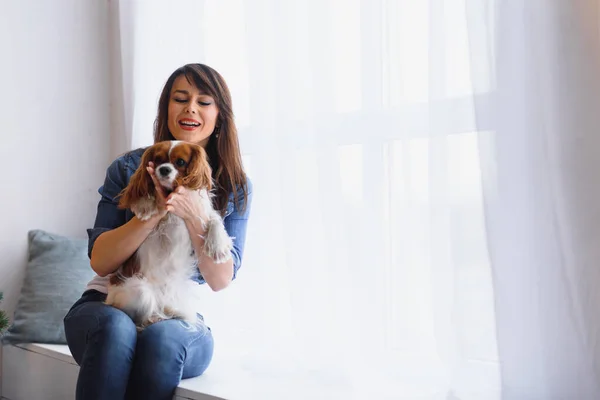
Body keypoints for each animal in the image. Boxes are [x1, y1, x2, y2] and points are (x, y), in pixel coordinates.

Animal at [105, 142, 232, 330]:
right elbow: (149, 192)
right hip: (139, 291)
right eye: (158, 160)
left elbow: (214, 219)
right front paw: (146, 205)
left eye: (180, 162)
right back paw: (152, 318)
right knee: (139, 317)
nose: (164, 169)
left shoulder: (199, 213)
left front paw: (218, 246)